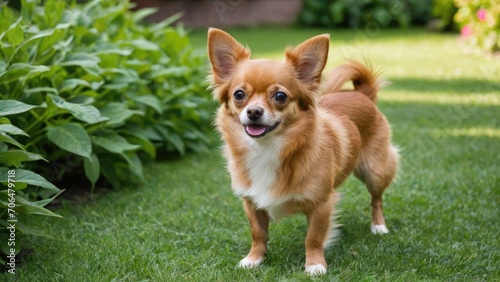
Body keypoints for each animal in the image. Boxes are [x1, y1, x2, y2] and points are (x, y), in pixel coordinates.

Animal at [206, 28, 398, 276]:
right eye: (239, 95)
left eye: (280, 96)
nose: (254, 112)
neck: (268, 149)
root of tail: (363, 94)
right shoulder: (251, 202)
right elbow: (258, 234)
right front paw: (253, 259)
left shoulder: (321, 204)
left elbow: (313, 237)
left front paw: (315, 264)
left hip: (375, 171)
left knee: (377, 199)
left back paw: (379, 226)